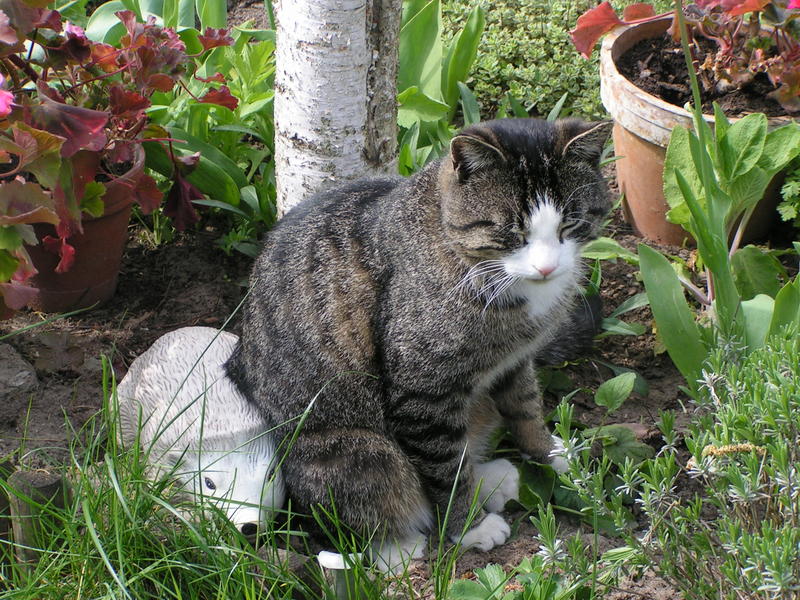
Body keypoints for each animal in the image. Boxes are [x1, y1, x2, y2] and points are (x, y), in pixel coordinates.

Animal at [227, 116, 612, 568]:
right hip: (355, 450)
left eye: (570, 224)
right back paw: (402, 544)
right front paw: (469, 525)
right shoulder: (423, 394)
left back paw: (493, 478)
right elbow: (446, 469)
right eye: (512, 232)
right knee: (380, 497)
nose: (548, 267)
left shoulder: (514, 361)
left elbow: (526, 410)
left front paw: (553, 456)